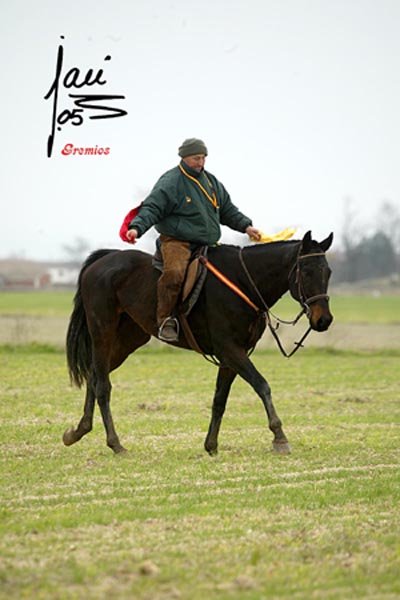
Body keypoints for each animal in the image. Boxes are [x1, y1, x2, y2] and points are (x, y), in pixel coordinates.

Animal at [64, 230, 332, 454]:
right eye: (306, 272)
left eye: (328, 272)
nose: (324, 320)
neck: (243, 283)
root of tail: (101, 262)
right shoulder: (230, 350)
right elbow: (262, 385)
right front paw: (279, 436)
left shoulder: (232, 357)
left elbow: (219, 400)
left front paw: (211, 445)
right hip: (103, 334)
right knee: (102, 385)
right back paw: (115, 443)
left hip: (128, 339)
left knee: (94, 375)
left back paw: (77, 431)